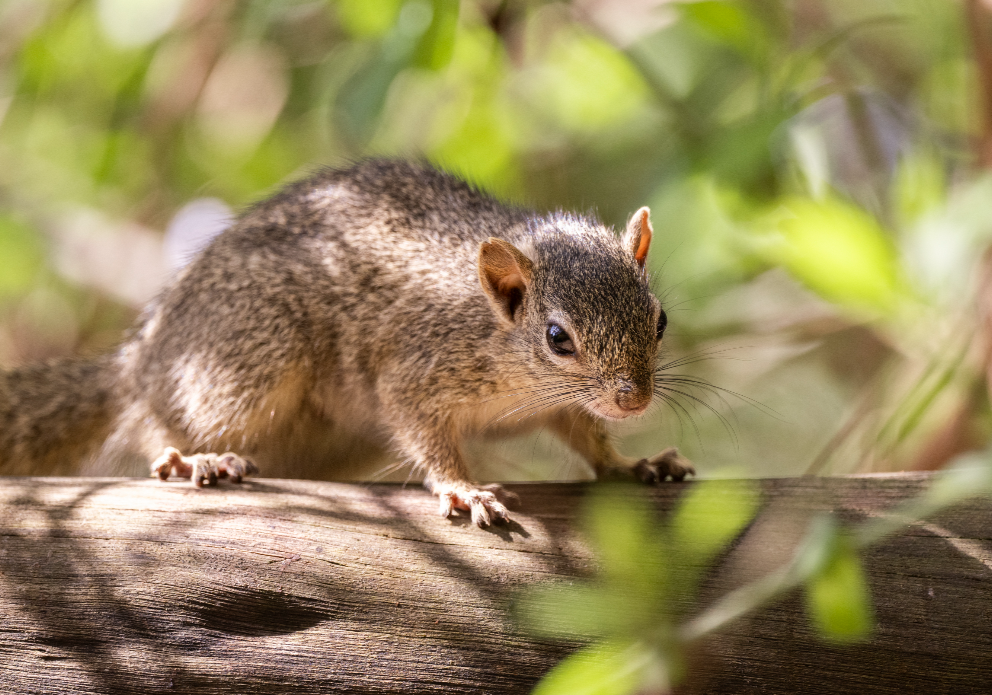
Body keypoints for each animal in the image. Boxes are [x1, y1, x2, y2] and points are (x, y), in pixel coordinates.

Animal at [0, 159, 694, 526]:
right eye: (557, 338)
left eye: (659, 319)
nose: (633, 400)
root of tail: (141, 357)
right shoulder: (418, 369)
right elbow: (427, 435)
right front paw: (463, 487)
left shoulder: (564, 407)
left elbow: (588, 439)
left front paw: (633, 464)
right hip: (245, 362)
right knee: (153, 416)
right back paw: (190, 456)